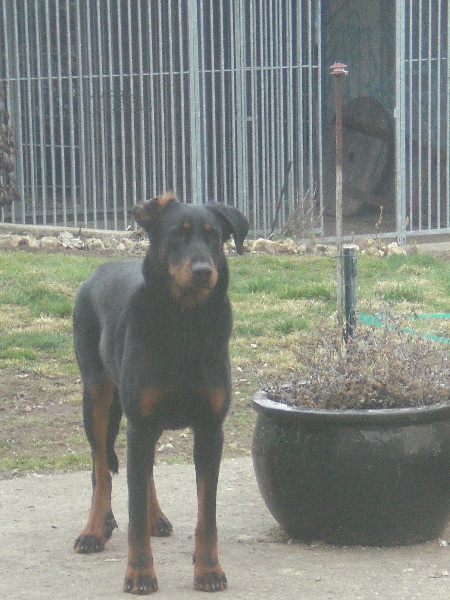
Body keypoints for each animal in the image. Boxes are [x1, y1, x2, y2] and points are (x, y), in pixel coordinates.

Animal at [73, 192, 249, 594]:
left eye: (215, 236)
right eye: (176, 235)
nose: (203, 270)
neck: (185, 322)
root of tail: (95, 273)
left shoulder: (210, 430)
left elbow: (207, 514)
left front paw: (209, 570)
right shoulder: (140, 422)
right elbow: (133, 512)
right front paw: (139, 574)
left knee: (141, 471)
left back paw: (156, 517)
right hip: (97, 395)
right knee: (101, 466)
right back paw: (94, 529)